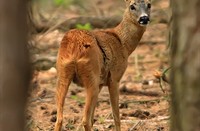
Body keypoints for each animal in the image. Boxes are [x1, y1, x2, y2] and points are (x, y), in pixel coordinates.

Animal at [54, 0, 151, 130]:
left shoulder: (101, 83)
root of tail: (74, 47)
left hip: (63, 73)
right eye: (132, 6)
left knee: (60, 119)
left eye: (149, 4)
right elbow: (116, 117)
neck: (123, 44)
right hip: (91, 76)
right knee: (85, 120)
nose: (144, 18)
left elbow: (93, 117)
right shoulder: (114, 77)